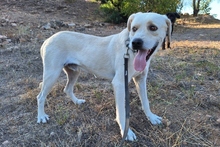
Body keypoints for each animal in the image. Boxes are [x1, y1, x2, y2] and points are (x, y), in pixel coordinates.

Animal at [37, 12, 172, 141]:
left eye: (153, 27)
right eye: (134, 28)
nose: (136, 42)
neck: (131, 52)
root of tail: (48, 39)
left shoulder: (141, 80)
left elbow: (145, 102)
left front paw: (151, 117)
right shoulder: (119, 84)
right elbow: (121, 111)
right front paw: (126, 131)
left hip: (74, 72)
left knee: (67, 89)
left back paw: (77, 101)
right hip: (52, 74)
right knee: (40, 96)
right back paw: (41, 116)